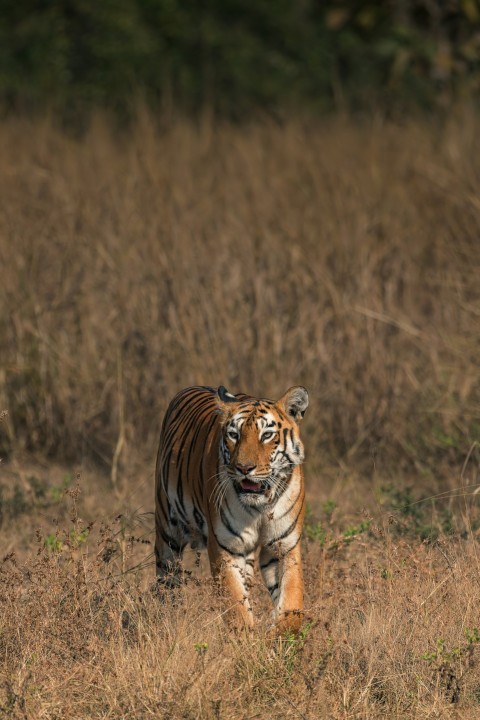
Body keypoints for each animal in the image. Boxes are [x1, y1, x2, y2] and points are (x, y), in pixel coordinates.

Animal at [154, 384, 309, 633]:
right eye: (233, 435)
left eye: (267, 435)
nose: (244, 468)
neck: (261, 506)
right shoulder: (226, 547)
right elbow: (237, 610)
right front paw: (248, 639)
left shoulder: (284, 546)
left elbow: (292, 606)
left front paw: (277, 636)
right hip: (167, 532)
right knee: (166, 583)